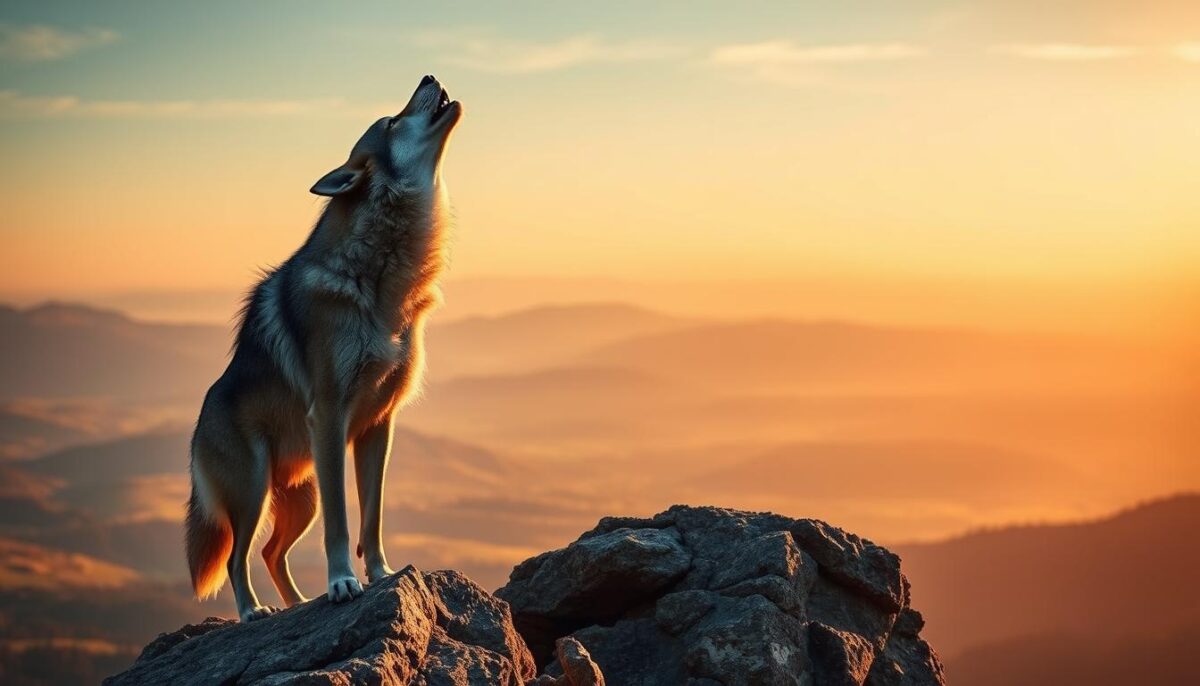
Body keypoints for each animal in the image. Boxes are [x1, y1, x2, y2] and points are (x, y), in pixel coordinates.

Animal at [184, 75, 462, 622]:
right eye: (391, 122)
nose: (428, 77)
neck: (381, 278)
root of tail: (197, 427)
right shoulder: (331, 417)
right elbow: (342, 522)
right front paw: (341, 583)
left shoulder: (379, 425)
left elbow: (371, 518)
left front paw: (379, 573)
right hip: (254, 491)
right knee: (236, 558)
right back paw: (254, 612)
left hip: (298, 497)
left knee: (271, 553)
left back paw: (297, 604)